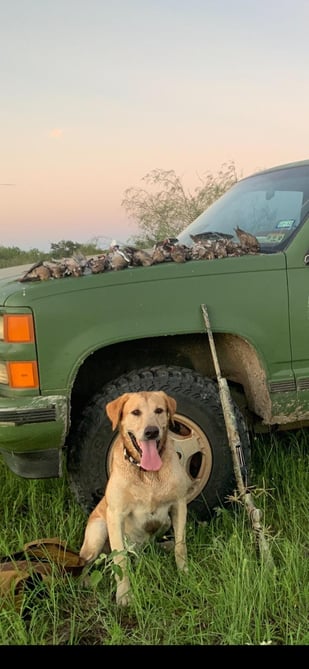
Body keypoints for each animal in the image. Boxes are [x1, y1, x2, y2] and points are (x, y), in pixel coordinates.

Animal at [79, 392, 190, 604]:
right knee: (83, 563)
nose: (151, 431)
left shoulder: (179, 505)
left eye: (159, 410)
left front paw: (185, 573)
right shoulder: (115, 516)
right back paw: (85, 580)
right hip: (98, 532)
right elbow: (120, 559)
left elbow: (181, 546)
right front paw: (124, 594)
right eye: (135, 412)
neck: (147, 473)